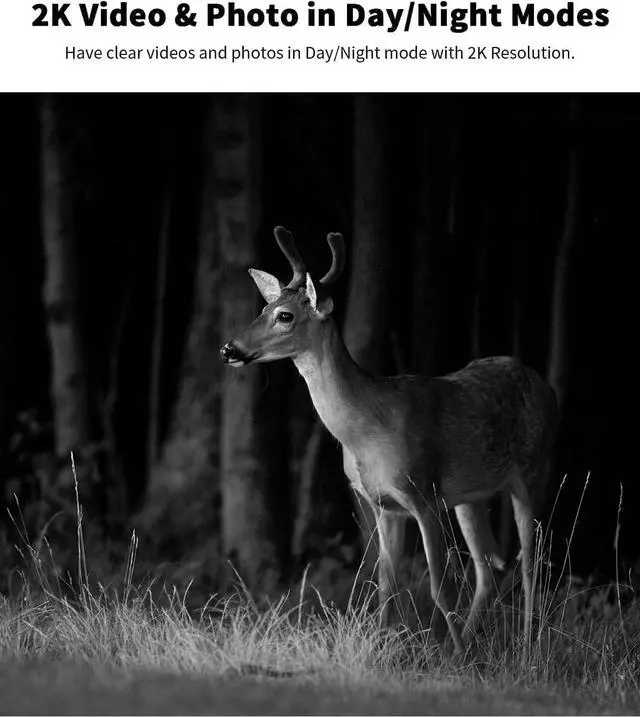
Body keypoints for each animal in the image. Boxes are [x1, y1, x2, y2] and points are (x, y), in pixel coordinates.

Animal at [220, 226, 558, 655]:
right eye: (264, 309)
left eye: (285, 316)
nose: (229, 348)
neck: (365, 433)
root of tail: (545, 386)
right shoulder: (383, 505)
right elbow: (386, 584)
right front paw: (386, 648)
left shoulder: (423, 493)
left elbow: (438, 586)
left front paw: (447, 658)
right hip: (471, 496)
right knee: (489, 569)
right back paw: (465, 646)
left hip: (534, 468)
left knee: (531, 562)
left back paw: (526, 647)